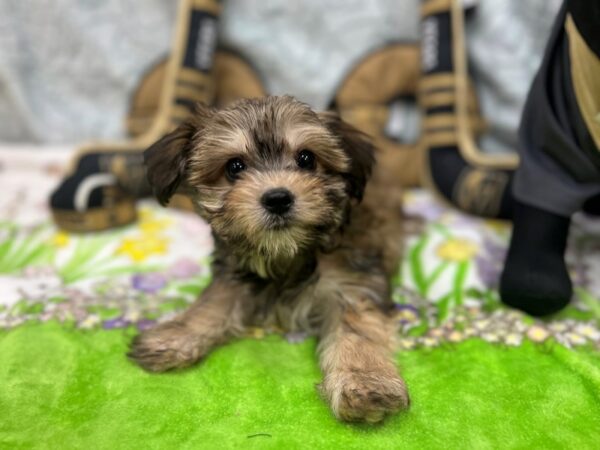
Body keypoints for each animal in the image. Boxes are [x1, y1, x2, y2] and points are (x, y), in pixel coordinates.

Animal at [129, 96, 410, 424]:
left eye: (306, 159)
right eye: (234, 167)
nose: (277, 199)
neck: (287, 254)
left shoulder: (352, 284)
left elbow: (358, 332)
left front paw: (365, 382)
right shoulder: (235, 273)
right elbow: (212, 304)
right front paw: (174, 336)